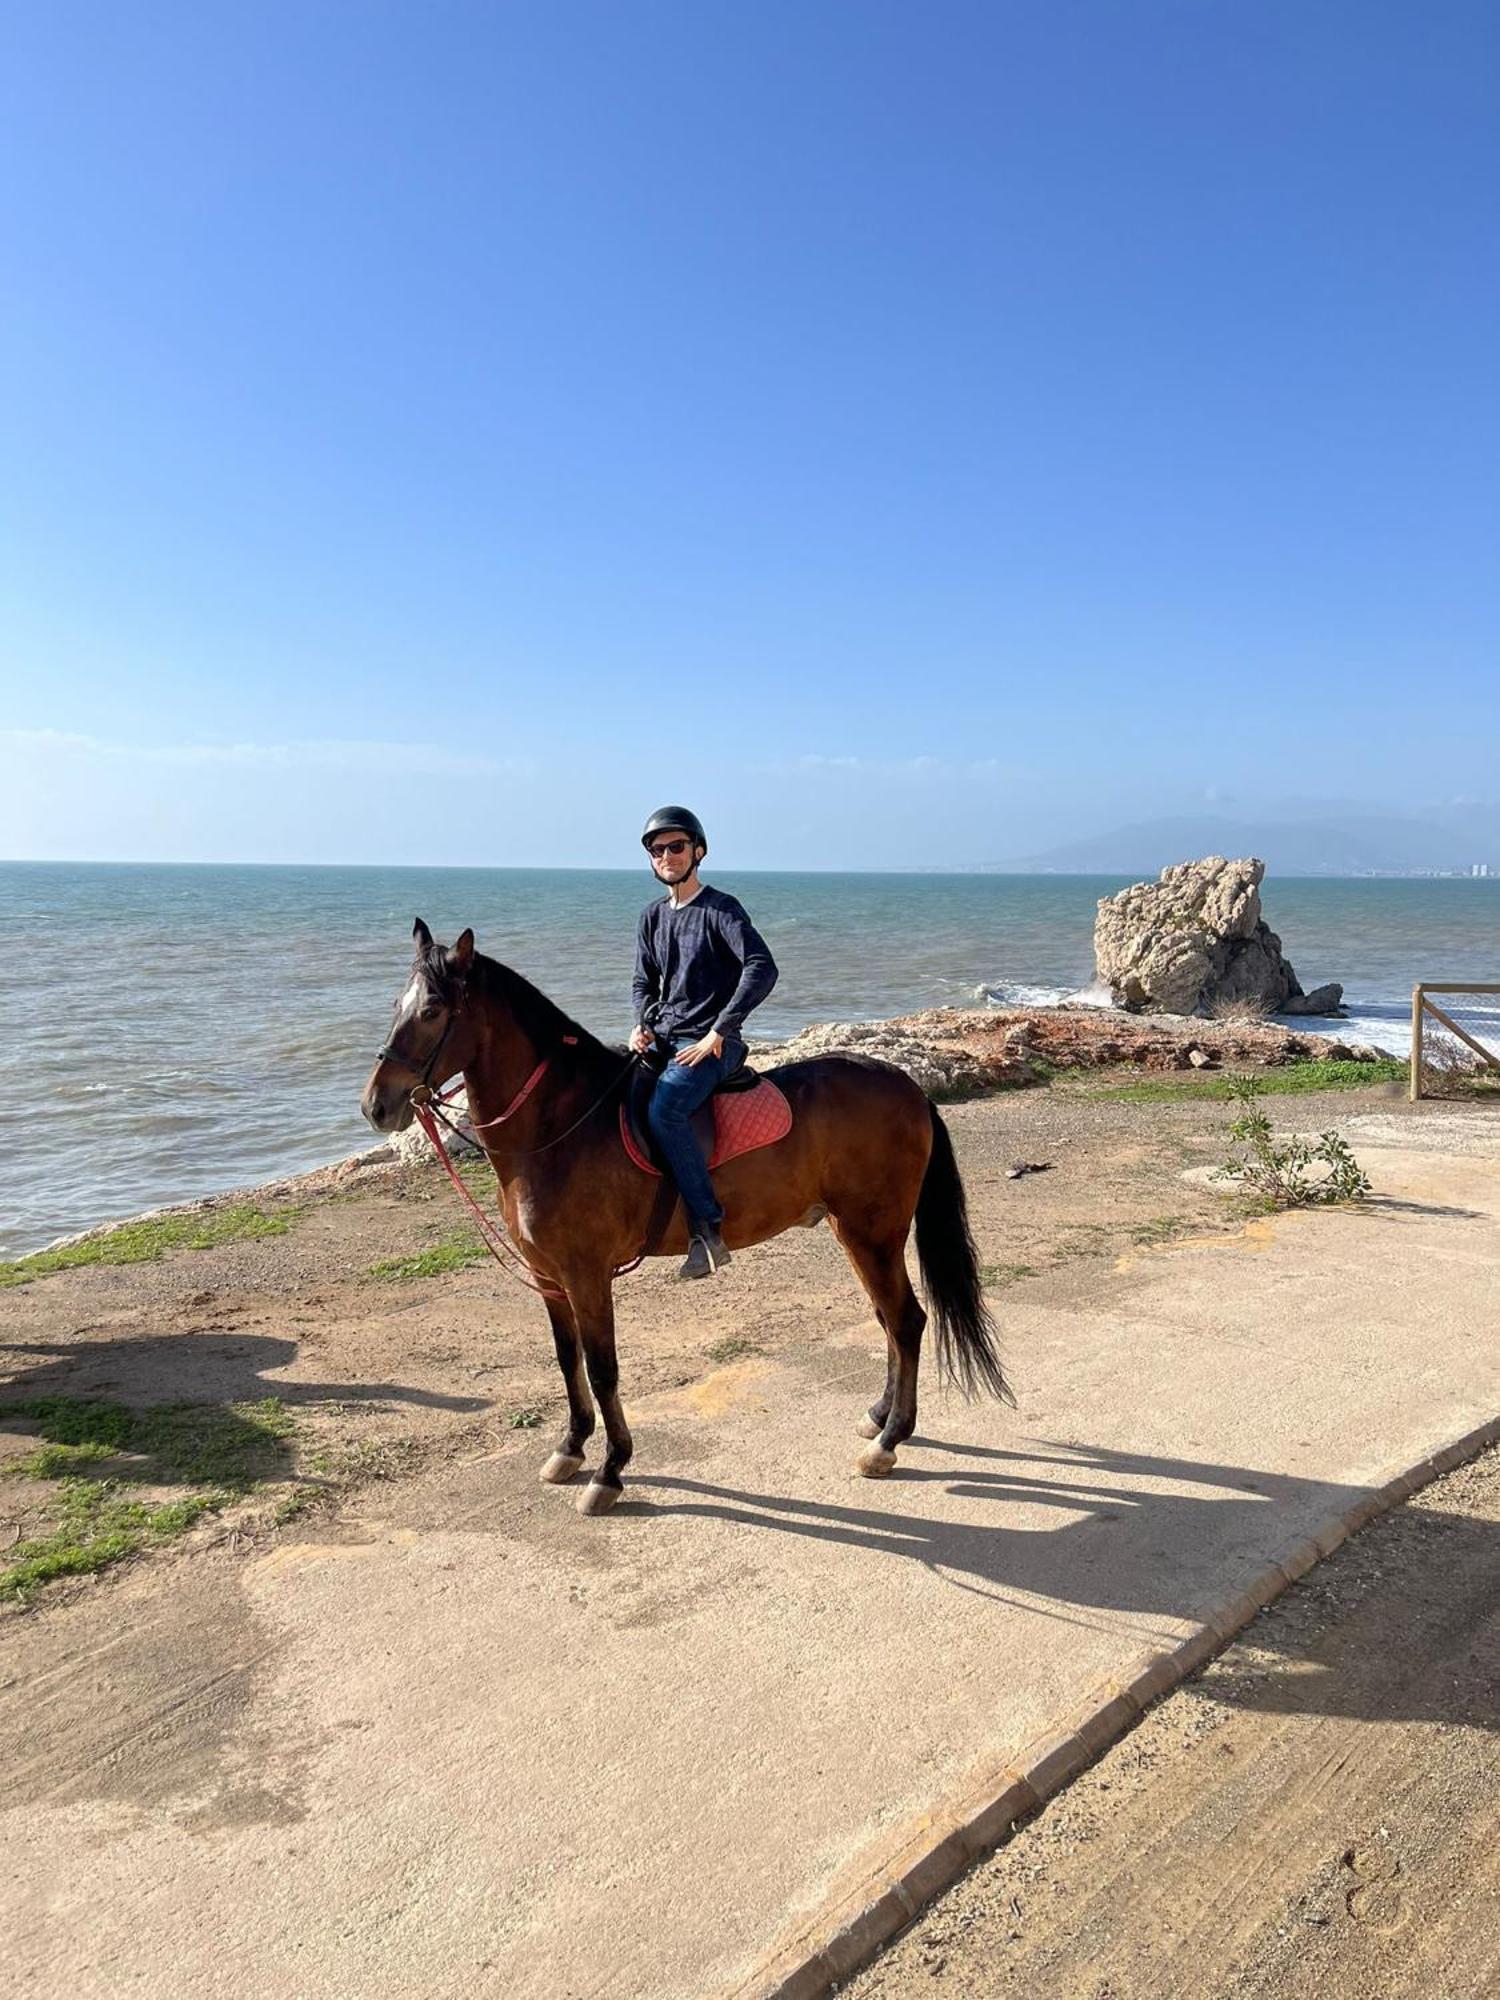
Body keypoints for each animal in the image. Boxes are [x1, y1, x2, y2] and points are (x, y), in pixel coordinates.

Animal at [366, 920, 1016, 1512]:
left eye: (431, 1010)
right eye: (394, 1005)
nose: (376, 1105)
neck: (560, 1127)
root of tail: (905, 1085)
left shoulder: (586, 1275)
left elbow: (603, 1370)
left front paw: (610, 1470)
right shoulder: (549, 1277)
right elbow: (567, 1360)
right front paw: (571, 1448)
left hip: (872, 1232)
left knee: (905, 1321)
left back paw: (888, 1442)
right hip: (852, 1231)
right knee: (888, 1320)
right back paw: (879, 1417)